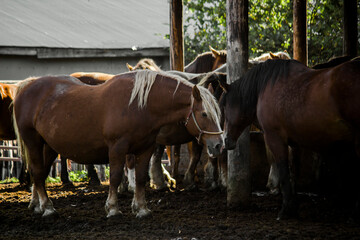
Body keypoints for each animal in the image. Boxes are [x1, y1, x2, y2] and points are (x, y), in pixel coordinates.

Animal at [12, 70, 224, 218]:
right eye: (204, 114)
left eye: (218, 113)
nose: (219, 145)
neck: (139, 105)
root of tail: (27, 85)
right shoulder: (117, 148)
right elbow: (114, 177)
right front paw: (113, 208)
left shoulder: (145, 149)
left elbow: (140, 178)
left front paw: (141, 209)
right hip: (32, 141)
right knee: (37, 172)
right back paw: (47, 208)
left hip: (48, 146)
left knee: (39, 174)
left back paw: (37, 205)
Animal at [218, 58, 360, 219]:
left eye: (224, 108)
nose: (225, 141)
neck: (264, 88)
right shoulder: (293, 143)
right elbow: (293, 172)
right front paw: (294, 205)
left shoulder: (275, 139)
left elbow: (283, 170)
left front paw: (286, 209)